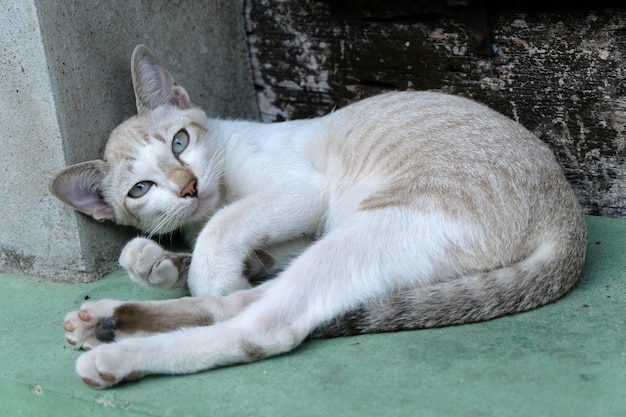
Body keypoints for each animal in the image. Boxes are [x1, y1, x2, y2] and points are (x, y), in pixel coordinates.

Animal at [48, 44, 584, 386]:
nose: (189, 187)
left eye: (180, 142)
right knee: (254, 303)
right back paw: (103, 321)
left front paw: (201, 268)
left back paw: (117, 352)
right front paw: (157, 262)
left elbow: (224, 233)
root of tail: (568, 216)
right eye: (141, 189)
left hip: (372, 225)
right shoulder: (288, 243)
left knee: (264, 327)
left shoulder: (304, 192)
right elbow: (224, 256)